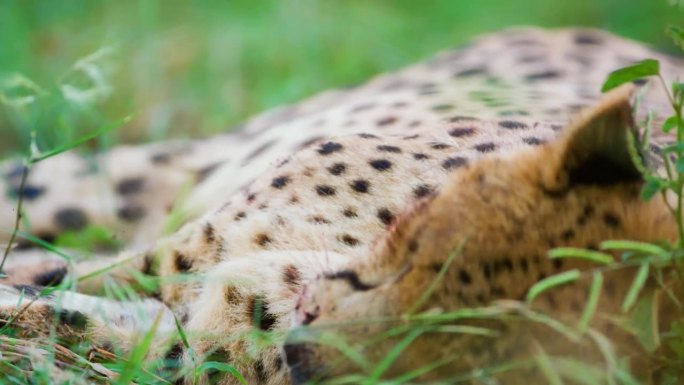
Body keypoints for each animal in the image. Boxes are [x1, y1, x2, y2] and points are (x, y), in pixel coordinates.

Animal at [0, 27, 680, 384]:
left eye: (475, 367)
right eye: (416, 252)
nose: (306, 348)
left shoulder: (182, 345)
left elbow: (63, 320)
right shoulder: (175, 258)